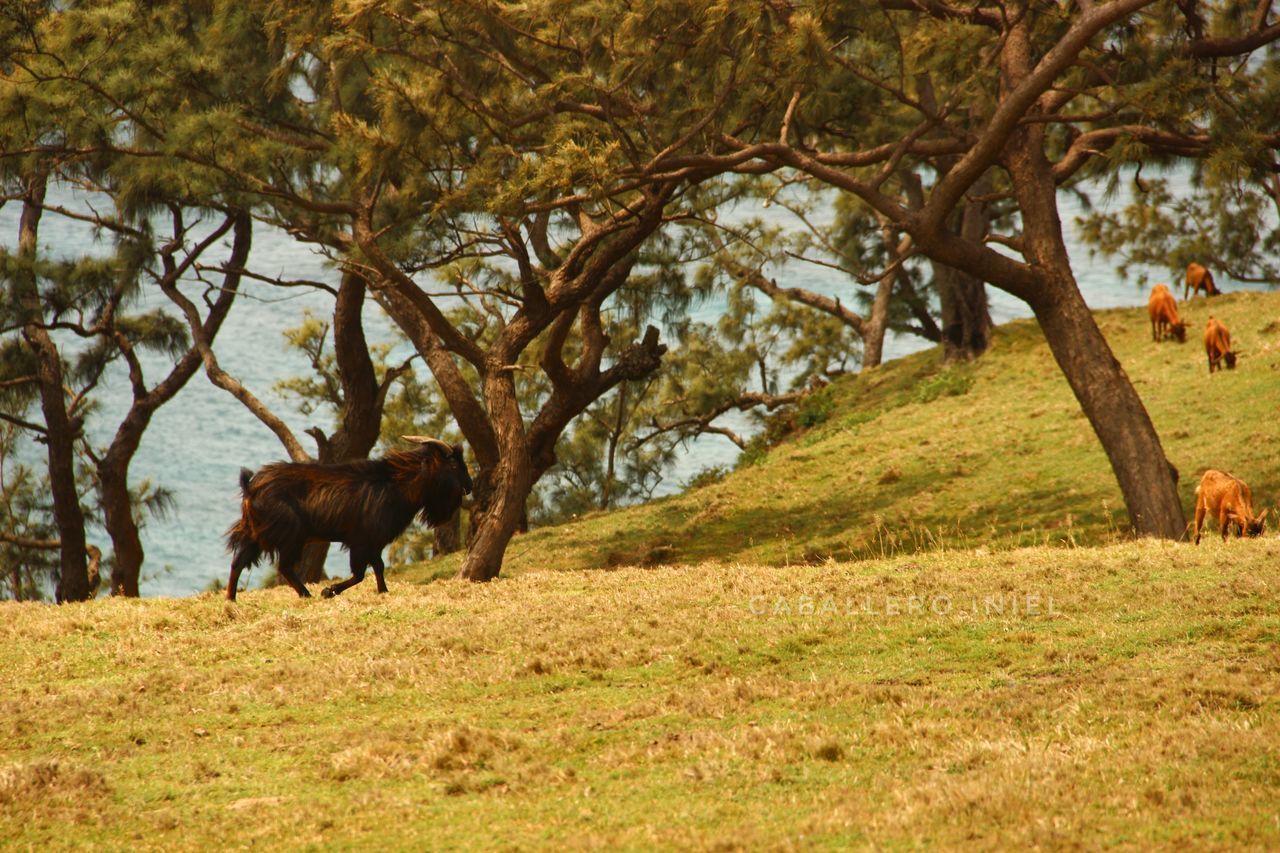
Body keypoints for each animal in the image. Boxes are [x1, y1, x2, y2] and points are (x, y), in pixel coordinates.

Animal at [226, 438, 476, 596]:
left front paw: (383, 591)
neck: (394, 485)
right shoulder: (362, 541)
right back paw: (307, 595)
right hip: (289, 534)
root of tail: (251, 486)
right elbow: (360, 574)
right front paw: (329, 591)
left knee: (239, 562)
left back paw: (231, 601)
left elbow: (378, 567)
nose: (470, 485)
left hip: (256, 533)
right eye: (454, 465)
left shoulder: (374, 542)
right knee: (284, 566)